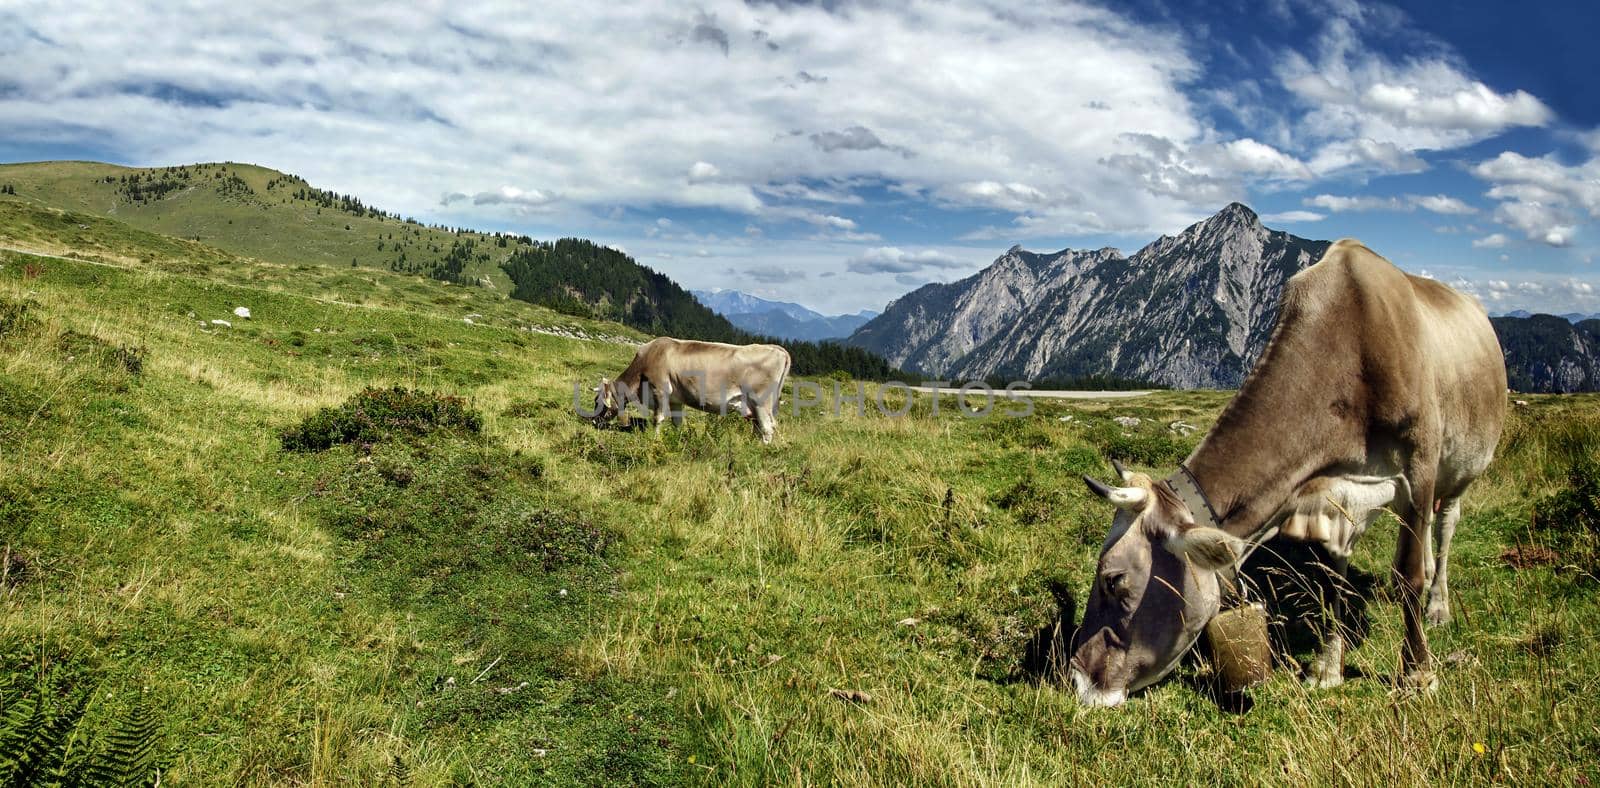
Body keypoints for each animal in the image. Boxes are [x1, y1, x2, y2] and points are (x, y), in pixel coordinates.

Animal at [592, 334, 790, 438]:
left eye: (598, 402)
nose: (594, 421)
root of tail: (778, 349)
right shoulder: (675, 399)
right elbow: (677, 422)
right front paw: (678, 440)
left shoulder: (660, 389)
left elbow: (657, 418)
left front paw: (655, 439)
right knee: (759, 428)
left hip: (761, 401)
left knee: (767, 428)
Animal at [1068, 240, 1504, 707]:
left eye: (1113, 580)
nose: (1077, 678)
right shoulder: (1333, 497)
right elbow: (1332, 579)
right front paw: (1328, 666)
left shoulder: (1419, 467)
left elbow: (1408, 576)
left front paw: (1417, 674)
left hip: (1460, 467)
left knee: (1444, 526)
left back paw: (1438, 606)